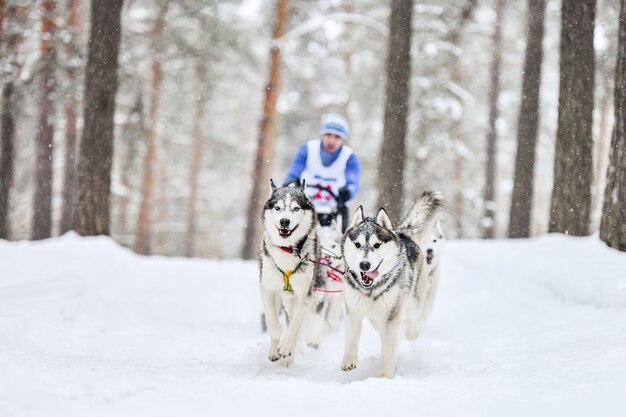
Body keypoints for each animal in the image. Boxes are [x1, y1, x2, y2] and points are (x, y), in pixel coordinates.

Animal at [260, 179, 324, 364]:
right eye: (277, 208)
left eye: (296, 208)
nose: (284, 221)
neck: (287, 250)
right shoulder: (267, 289)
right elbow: (273, 323)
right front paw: (275, 348)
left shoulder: (304, 294)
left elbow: (295, 324)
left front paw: (287, 346)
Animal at [338, 192, 442, 376]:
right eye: (357, 244)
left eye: (377, 245)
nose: (364, 265)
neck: (371, 290)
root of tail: (402, 234)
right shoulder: (353, 312)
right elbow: (351, 339)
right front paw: (349, 360)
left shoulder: (392, 317)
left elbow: (388, 349)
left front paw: (384, 376)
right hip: (377, 319)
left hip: (412, 303)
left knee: (411, 321)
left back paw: (411, 334)